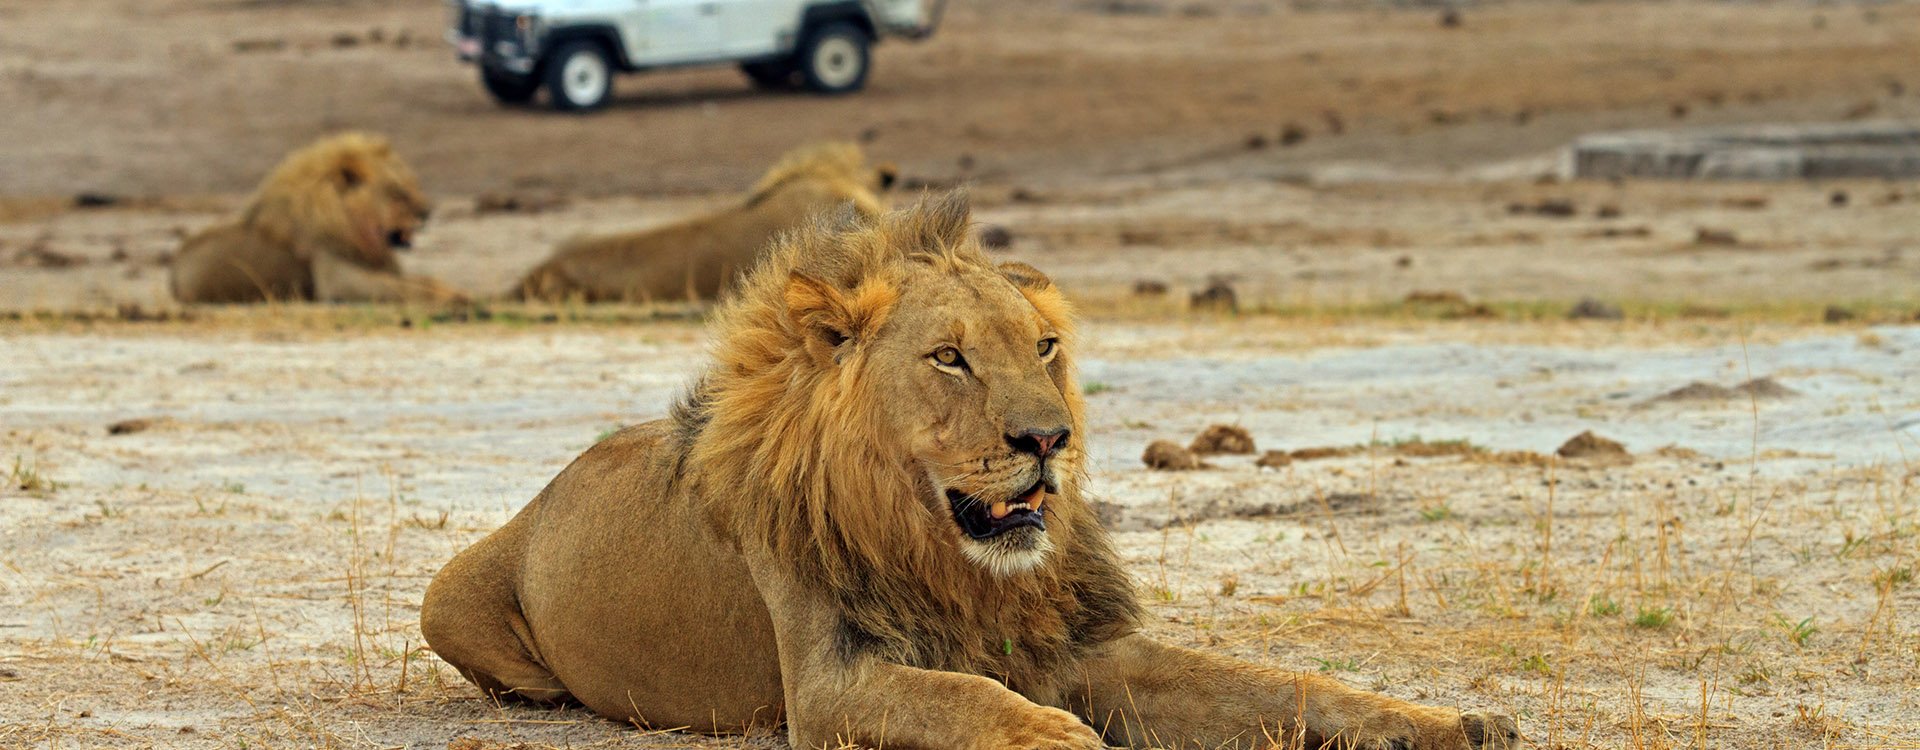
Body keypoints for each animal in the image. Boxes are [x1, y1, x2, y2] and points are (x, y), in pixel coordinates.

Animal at [169, 133, 468, 304]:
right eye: (398, 192)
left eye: (413, 184)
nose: (427, 212)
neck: (351, 227)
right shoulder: (337, 281)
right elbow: (411, 287)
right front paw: (457, 296)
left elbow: (418, 280)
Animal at [420, 190, 1512, 748]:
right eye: (950, 359)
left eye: (1045, 349)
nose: (1048, 440)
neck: (953, 565)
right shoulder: (829, 685)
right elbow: (979, 702)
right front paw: (1070, 743)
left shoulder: (1079, 648)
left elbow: (1282, 685)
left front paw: (1452, 722)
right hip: (444, 600)